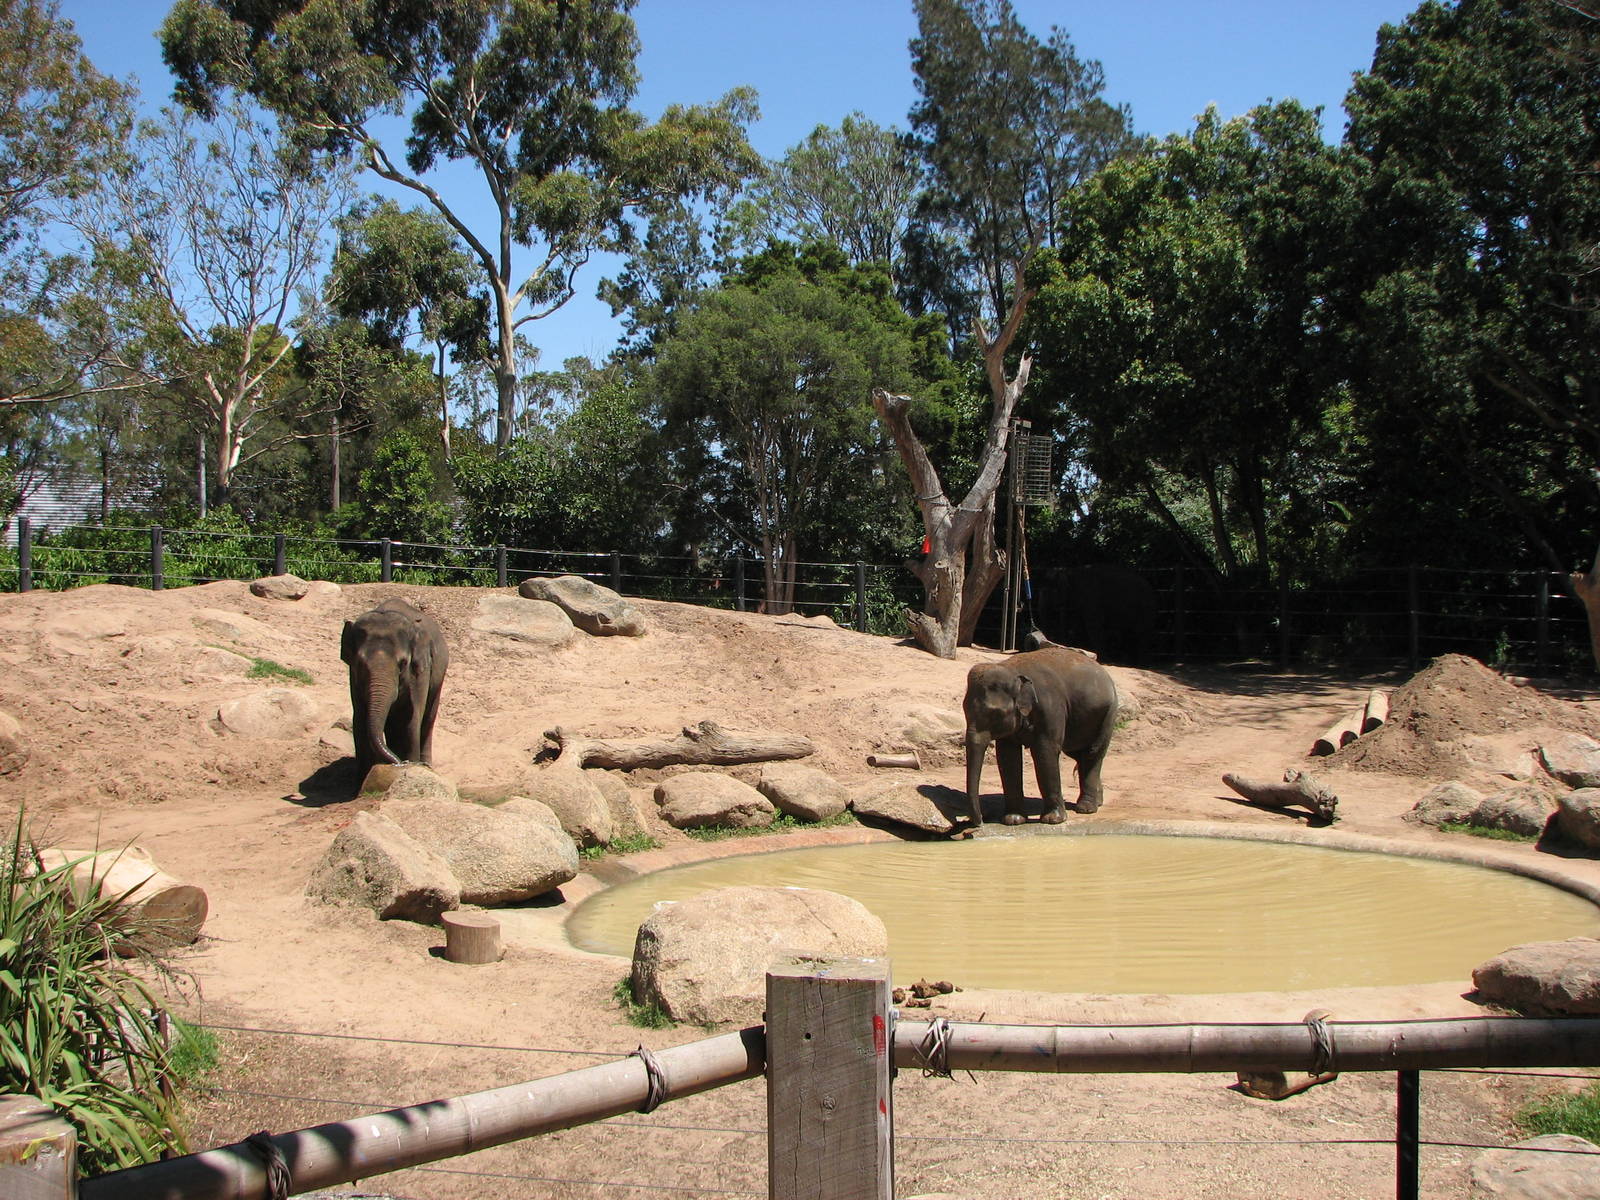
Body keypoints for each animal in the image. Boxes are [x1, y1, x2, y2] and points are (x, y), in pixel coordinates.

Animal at [340, 598, 449, 781]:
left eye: (403, 663)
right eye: (360, 663)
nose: (399, 763)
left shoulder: (420, 671)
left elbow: (411, 718)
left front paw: (413, 765)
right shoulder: (353, 678)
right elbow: (360, 719)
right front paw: (361, 781)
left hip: (438, 677)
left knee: (428, 718)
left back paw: (427, 765)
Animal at [962, 644, 1119, 827]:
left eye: (995, 714)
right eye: (964, 710)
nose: (980, 822)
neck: (1012, 669)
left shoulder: (1050, 708)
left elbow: (1045, 751)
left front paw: (1053, 820)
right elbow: (1007, 756)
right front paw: (1013, 820)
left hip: (1108, 713)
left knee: (1092, 753)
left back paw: (1086, 808)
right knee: (1078, 754)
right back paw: (1098, 801)